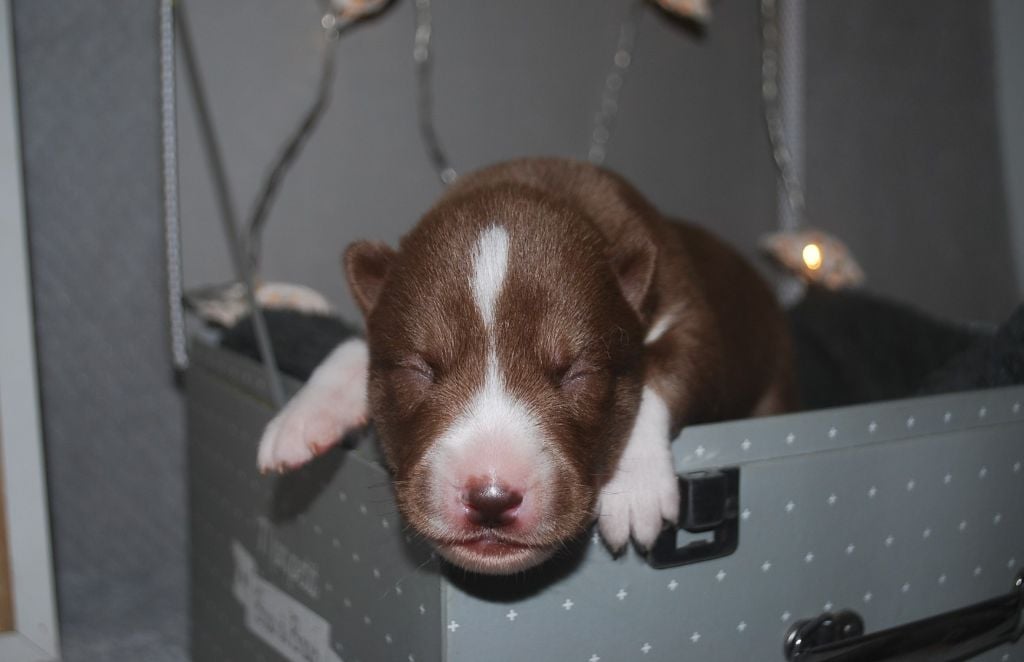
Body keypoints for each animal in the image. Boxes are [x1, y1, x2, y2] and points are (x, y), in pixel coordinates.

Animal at [257, 158, 796, 574]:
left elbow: (667, 369)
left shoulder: (690, 312)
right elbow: (353, 342)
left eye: (577, 373)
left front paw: (634, 485)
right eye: (419, 369)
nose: (491, 498)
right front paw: (302, 416)